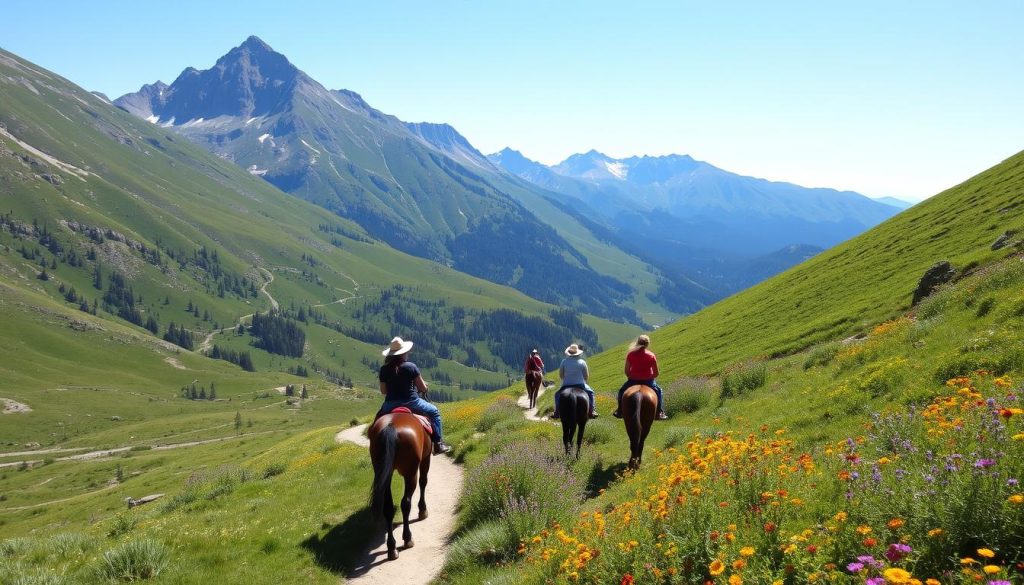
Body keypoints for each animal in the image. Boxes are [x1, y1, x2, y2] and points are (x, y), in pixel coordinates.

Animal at [370, 409, 430, 561]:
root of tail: (391, 426)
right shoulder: (426, 458)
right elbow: (423, 482)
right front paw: (422, 510)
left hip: (385, 474)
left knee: (388, 508)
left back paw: (392, 548)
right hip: (411, 473)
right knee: (406, 503)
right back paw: (408, 538)